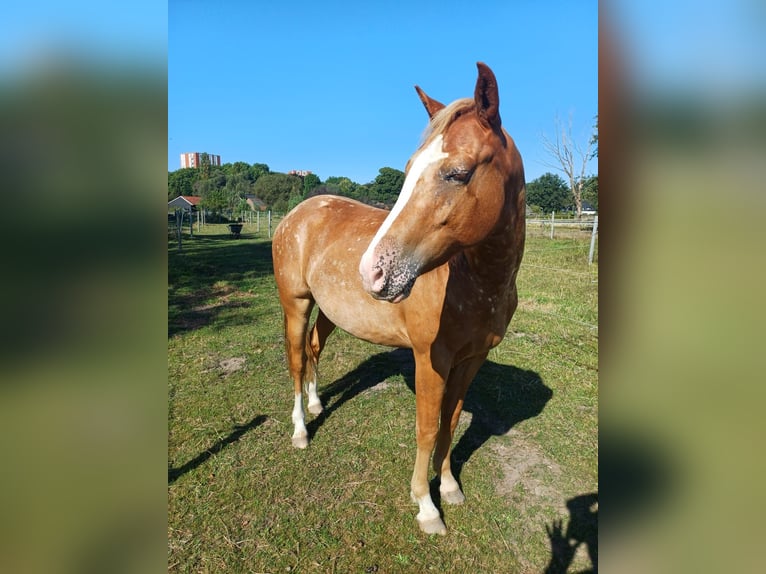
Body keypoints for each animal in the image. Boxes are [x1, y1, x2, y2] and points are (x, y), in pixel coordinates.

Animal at [272, 62, 528, 536]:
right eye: (408, 168)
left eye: (458, 172)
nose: (372, 272)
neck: (478, 283)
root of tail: (298, 213)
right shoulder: (431, 359)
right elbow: (427, 428)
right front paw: (426, 505)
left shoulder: (471, 360)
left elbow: (450, 422)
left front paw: (450, 487)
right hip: (295, 304)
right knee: (297, 361)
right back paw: (300, 429)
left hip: (330, 312)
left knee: (314, 349)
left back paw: (317, 403)